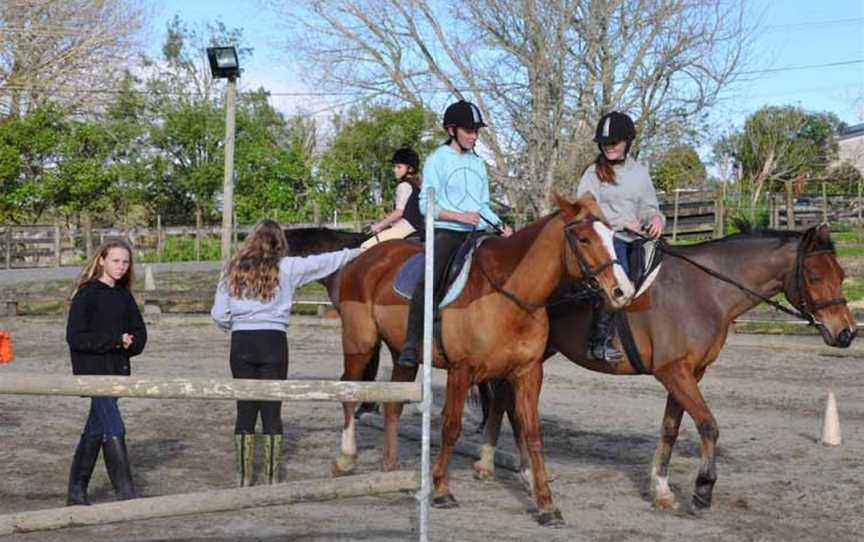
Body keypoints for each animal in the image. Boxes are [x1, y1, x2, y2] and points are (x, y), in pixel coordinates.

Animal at [330, 194, 636, 528]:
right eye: (584, 238)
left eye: (612, 235)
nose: (623, 291)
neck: (508, 295)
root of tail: (362, 260)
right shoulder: (461, 370)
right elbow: (451, 427)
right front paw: (441, 490)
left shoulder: (528, 373)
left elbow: (532, 433)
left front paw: (546, 505)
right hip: (360, 344)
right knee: (348, 392)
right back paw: (345, 459)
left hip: (403, 356)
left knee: (393, 405)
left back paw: (392, 469)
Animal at [476, 223, 852, 516]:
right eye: (814, 275)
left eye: (841, 275)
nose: (846, 333)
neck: (704, 291)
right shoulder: (674, 371)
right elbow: (708, 425)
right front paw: (702, 490)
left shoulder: (689, 373)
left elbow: (671, 428)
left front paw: (661, 490)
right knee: (507, 400)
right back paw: (493, 463)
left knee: (505, 398)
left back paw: (508, 466)